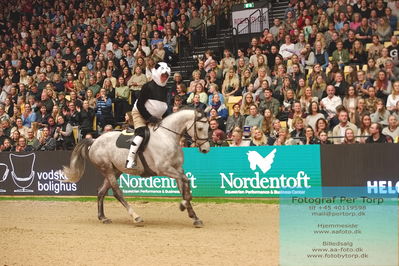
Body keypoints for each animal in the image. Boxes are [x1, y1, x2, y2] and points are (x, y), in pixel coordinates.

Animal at [63, 109, 209, 228]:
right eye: (200, 128)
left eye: (208, 127)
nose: (206, 149)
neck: (167, 137)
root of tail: (94, 141)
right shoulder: (164, 169)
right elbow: (186, 182)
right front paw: (183, 205)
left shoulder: (178, 169)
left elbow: (184, 187)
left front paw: (194, 216)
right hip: (107, 169)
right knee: (117, 192)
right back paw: (136, 216)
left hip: (116, 170)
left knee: (101, 191)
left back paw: (103, 217)